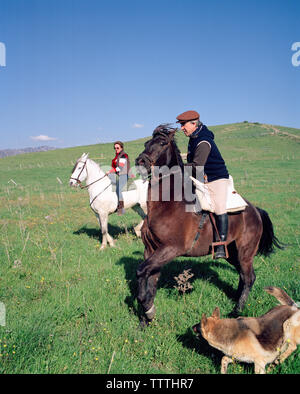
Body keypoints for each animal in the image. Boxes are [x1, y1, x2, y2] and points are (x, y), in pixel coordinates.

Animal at [136, 125, 284, 324]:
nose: (140, 161)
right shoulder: (151, 250)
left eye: (162, 143)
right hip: (232, 253)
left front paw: (146, 308)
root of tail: (255, 209)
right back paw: (235, 299)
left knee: (249, 277)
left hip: (245, 252)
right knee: (243, 275)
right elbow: (149, 281)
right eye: (146, 143)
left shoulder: (171, 248)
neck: (167, 204)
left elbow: (141, 272)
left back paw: (236, 311)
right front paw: (146, 318)